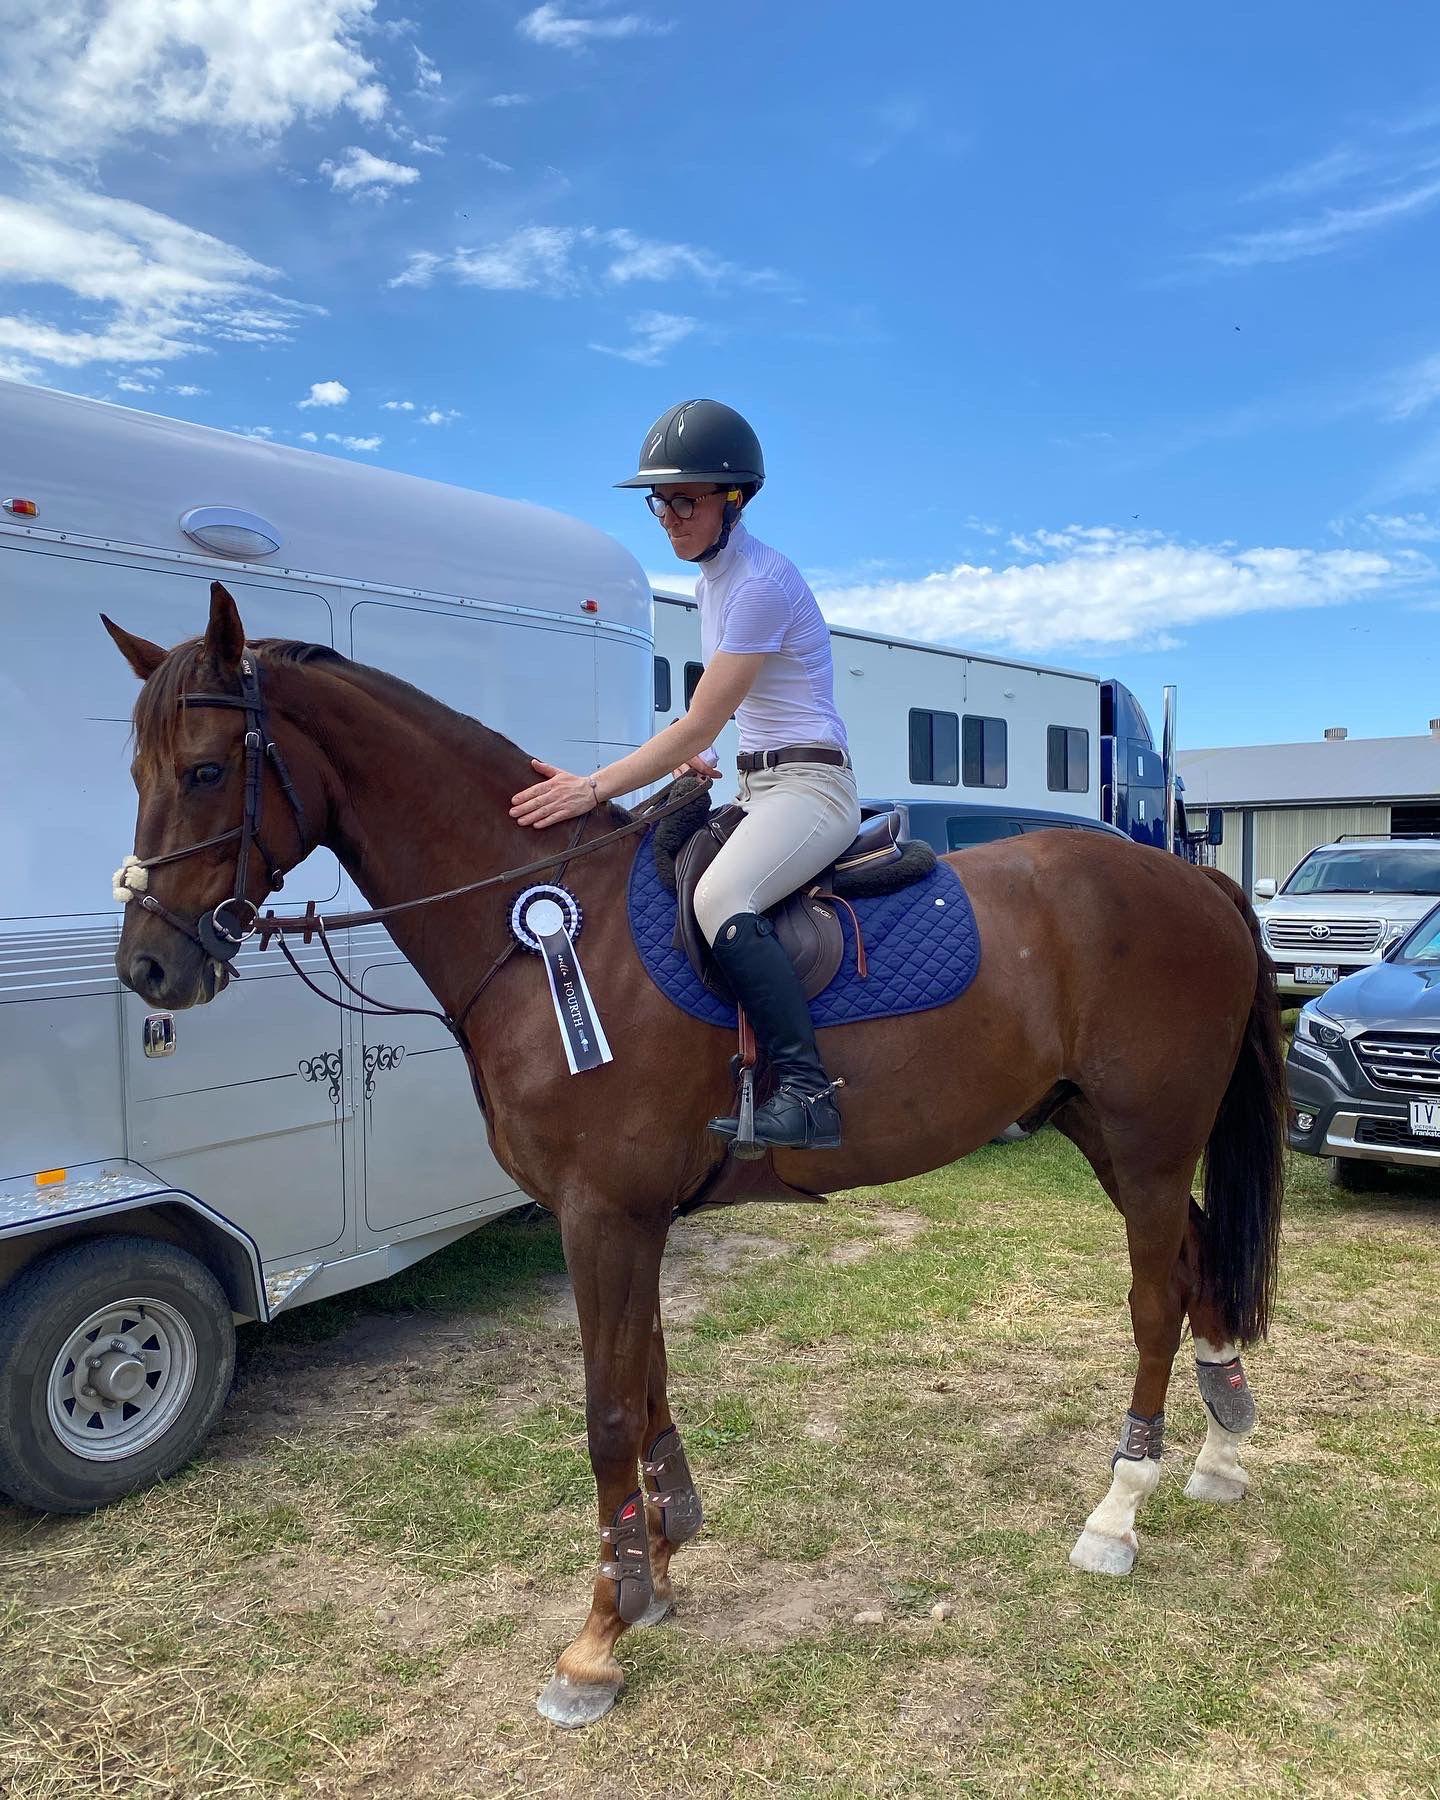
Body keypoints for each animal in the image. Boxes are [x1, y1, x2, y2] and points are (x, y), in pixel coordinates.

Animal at [102, 583, 1284, 1728]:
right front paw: (658, 1567)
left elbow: (607, 1411)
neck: (548, 928)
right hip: (1107, 1133)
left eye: (206, 769)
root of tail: (1197, 882)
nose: (151, 968)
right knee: (1197, 1265)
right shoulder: (633, 1217)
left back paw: (1117, 1513)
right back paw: (1221, 1455)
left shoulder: (601, 1216)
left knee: (1153, 1300)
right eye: (138, 770)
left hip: (1147, 1140)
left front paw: (597, 1635)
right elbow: (652, 1379)